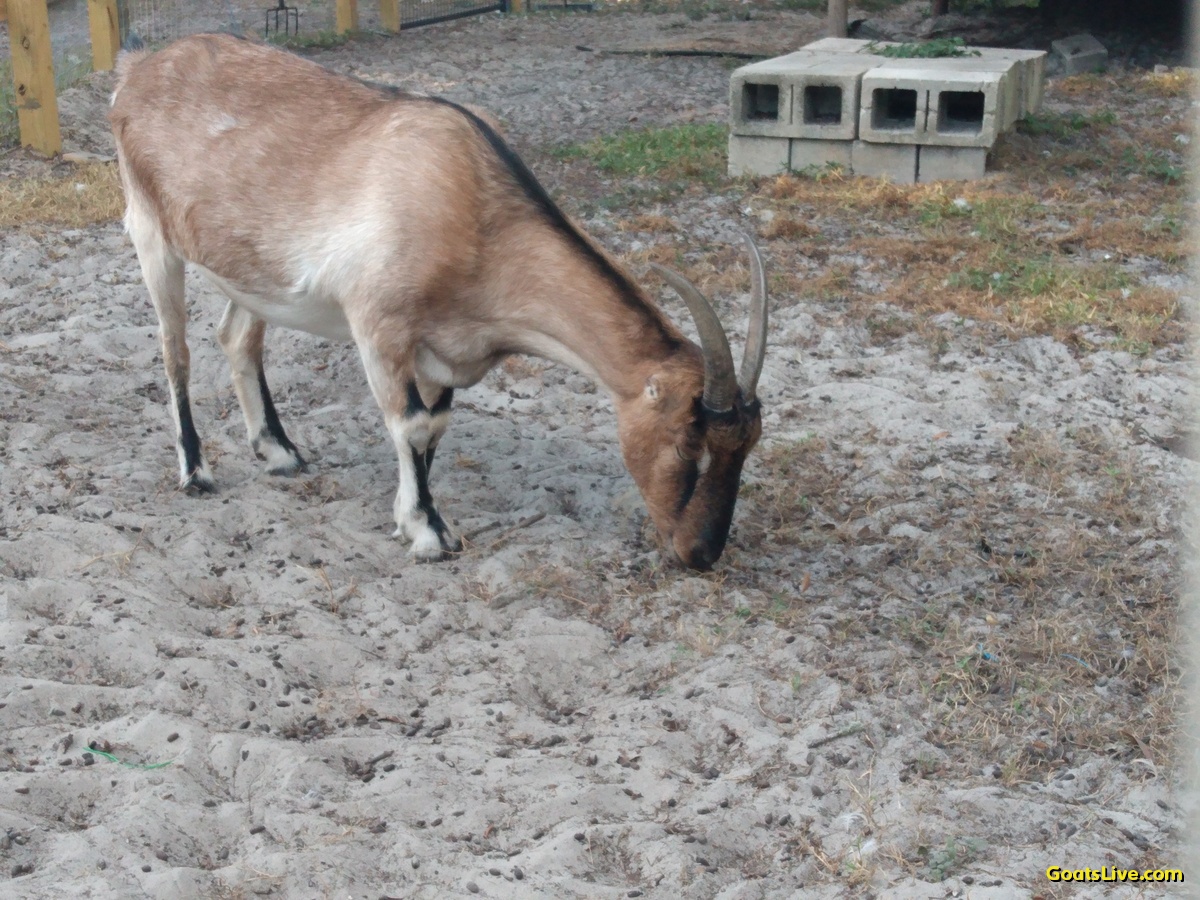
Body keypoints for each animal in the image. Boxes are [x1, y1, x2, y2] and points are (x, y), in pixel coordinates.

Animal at [108, 34, 768, 571]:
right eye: (686, 443)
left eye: (748, 447)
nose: (700, 553)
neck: (471, 206)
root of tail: (137, 70)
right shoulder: (379, 326)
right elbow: (413, 425)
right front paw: (430, 534)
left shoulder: (444, 351)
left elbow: (435, 428)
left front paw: (411, 517)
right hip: (150, 231)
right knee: (175, 350)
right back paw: (196, 470)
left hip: (250, 271)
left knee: (236, 336)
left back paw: (279, 452)